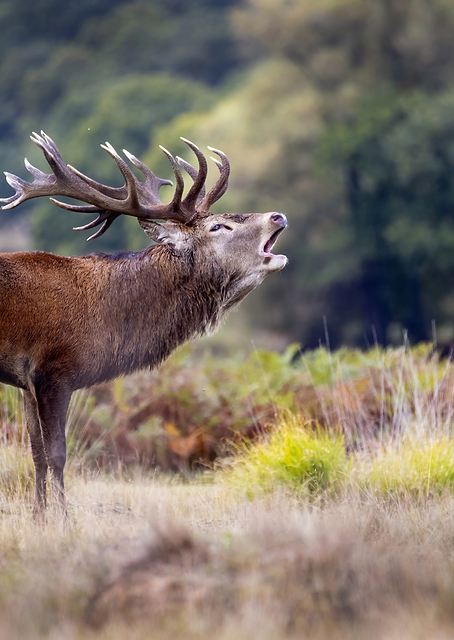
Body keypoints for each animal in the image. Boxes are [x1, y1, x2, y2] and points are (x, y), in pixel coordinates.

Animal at [0, 131, 287, 517]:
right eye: (217, 226)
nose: (277, 216)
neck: (106, 320)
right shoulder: (53, 372)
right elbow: (57, 454)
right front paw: (62, 519)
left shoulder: (25, 382)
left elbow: (35, 454)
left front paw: (39, 517)